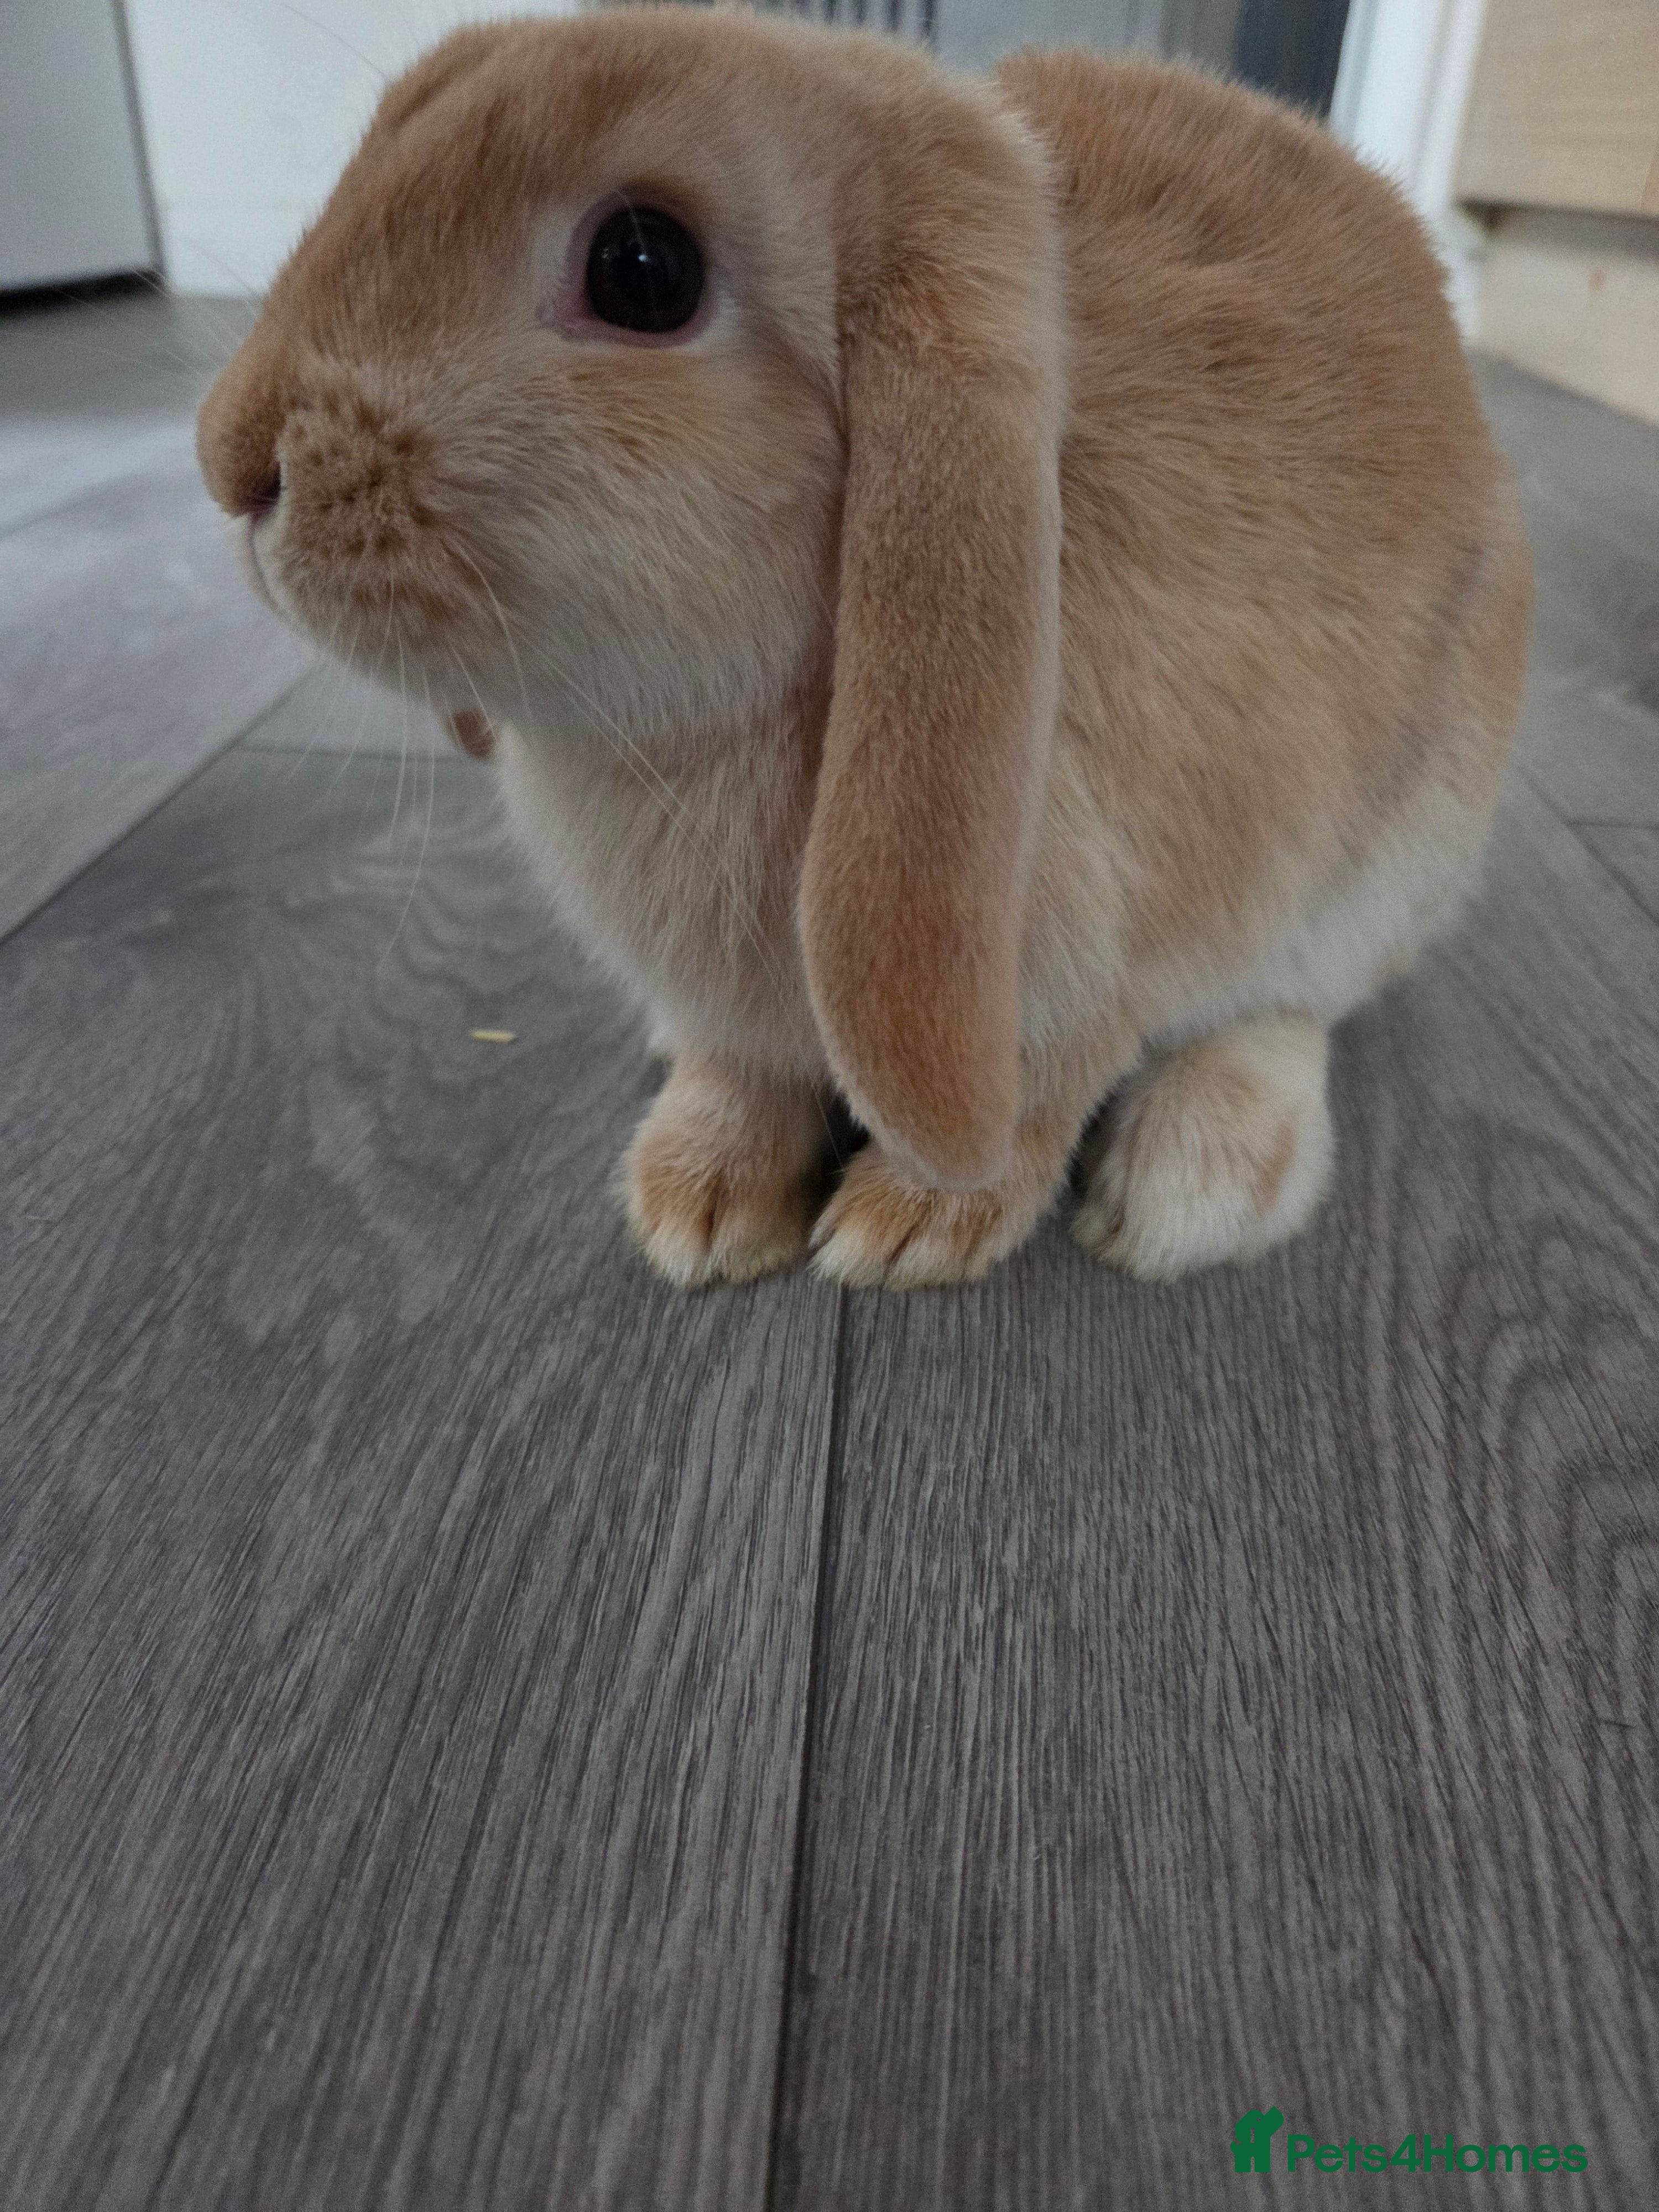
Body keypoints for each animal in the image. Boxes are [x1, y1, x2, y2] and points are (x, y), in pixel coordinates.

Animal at [196, 6, 1531, 1289]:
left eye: (643, 270)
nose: (229, 459)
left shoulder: (1116, 957)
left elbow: (1040, 1103)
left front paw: (911, 1231)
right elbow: (741, 1073)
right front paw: (699, 1207)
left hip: (1403, 860)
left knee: (1295, 1011)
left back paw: (1193, 1188)